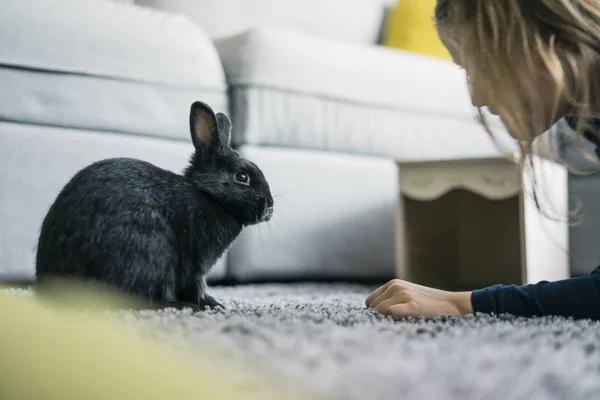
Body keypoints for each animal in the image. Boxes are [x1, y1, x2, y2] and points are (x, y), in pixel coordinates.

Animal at [35, 102, 274, 310]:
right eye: (241, 177)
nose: (270, 206)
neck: (209, 196)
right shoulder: (194, 263)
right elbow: (196, 286)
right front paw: (213, 305)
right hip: (152, 253)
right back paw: (184, 306)